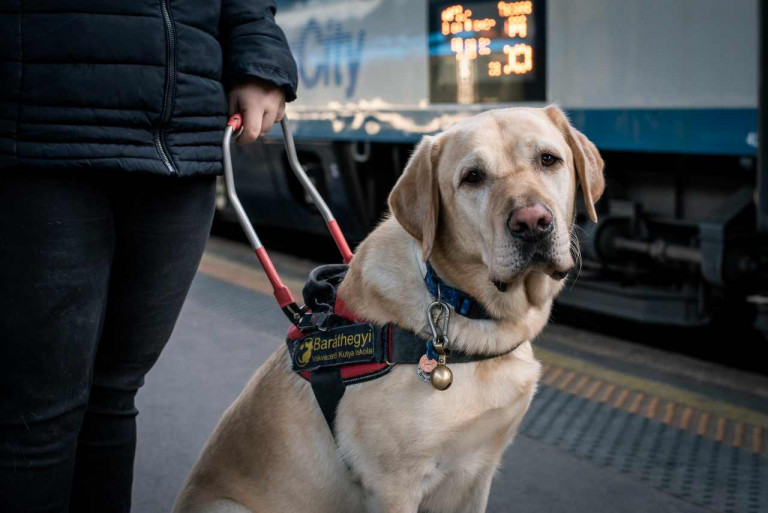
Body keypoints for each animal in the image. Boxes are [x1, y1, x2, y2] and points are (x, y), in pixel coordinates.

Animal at [172, 105, 600, 512]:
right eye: (472, 177)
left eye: (548, 159)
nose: (532, 221)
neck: (459, 302)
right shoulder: (394, 485)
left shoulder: (477, 476)